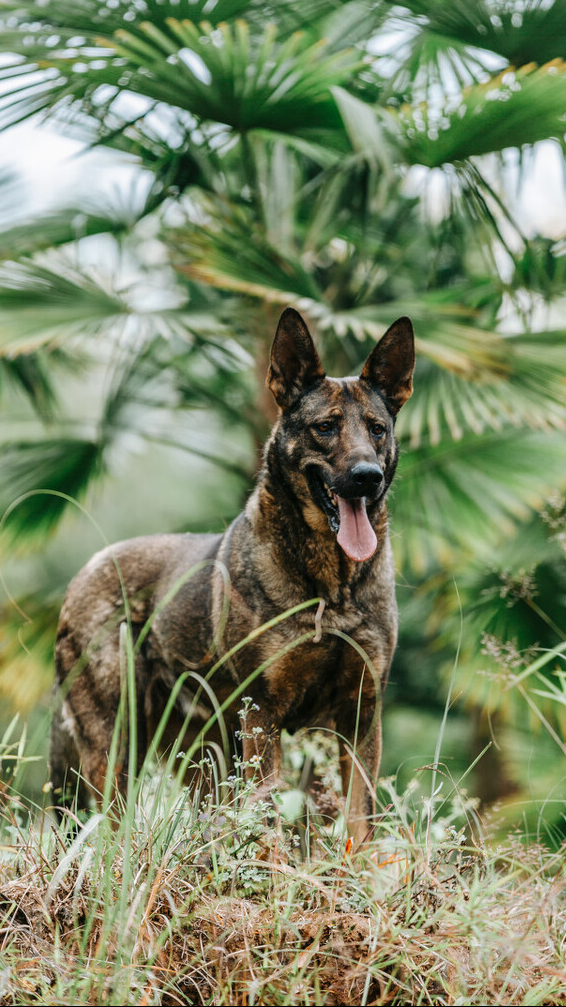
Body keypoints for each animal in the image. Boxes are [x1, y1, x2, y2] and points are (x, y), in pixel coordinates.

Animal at [51, 306, 414, 841]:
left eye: (377, 429)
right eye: (325, 427)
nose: (367, 477)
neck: (330, 587)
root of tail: (86, 572)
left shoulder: (361, 716)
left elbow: (357, 823)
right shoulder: (263, 716)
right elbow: (268, 829)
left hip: (201, 753)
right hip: (116, 744)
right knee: (109, 824)